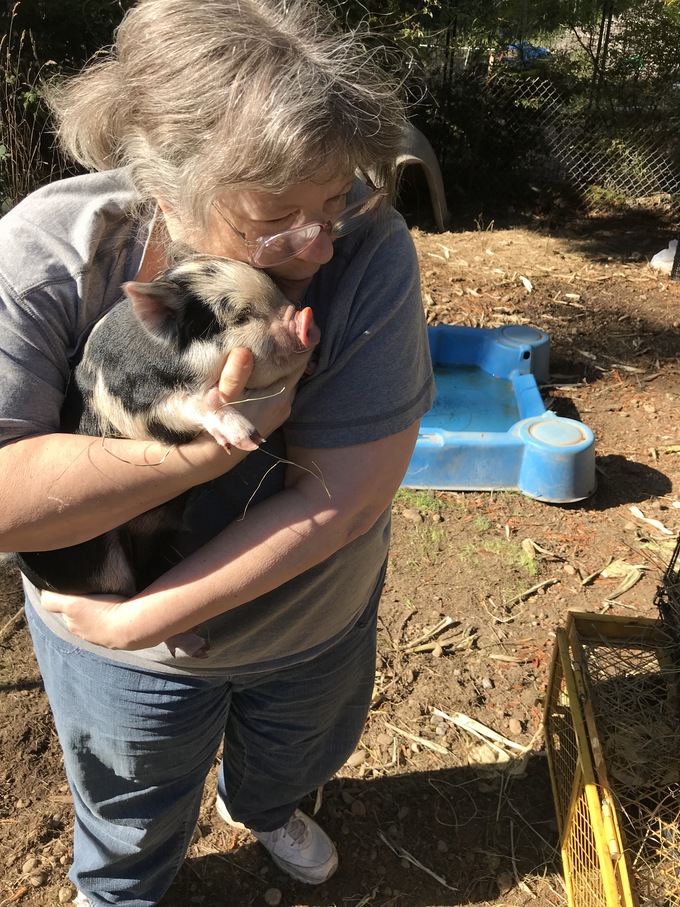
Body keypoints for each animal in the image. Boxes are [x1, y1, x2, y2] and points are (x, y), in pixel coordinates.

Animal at [15, 256, 319, 654]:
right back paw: (194, 644)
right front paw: (247, 437)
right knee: (125, 593)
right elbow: (190, 404)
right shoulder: (138, 405)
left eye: (277, 292)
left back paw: (199, 646)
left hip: (160, 535)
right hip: (97, 563)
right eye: (241, 316)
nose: (305, 317)